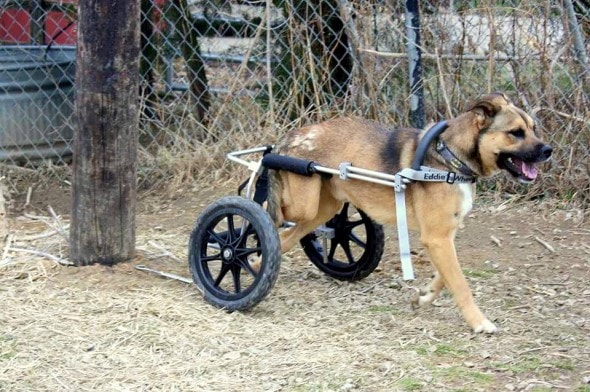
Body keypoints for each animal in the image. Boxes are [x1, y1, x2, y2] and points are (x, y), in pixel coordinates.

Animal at [266, 93, 552, 332]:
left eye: (533, 129)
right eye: (515, 133)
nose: (548, 150)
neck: (450, 158)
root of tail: (289, 138)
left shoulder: (443, 237)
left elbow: (444, 277)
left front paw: (424, 297)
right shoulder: (437, 238)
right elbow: (460, 284)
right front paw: (479, 322)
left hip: (323, 210)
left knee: (285, 238)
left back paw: (259, 263)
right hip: (303, 204)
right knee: (269, 211)